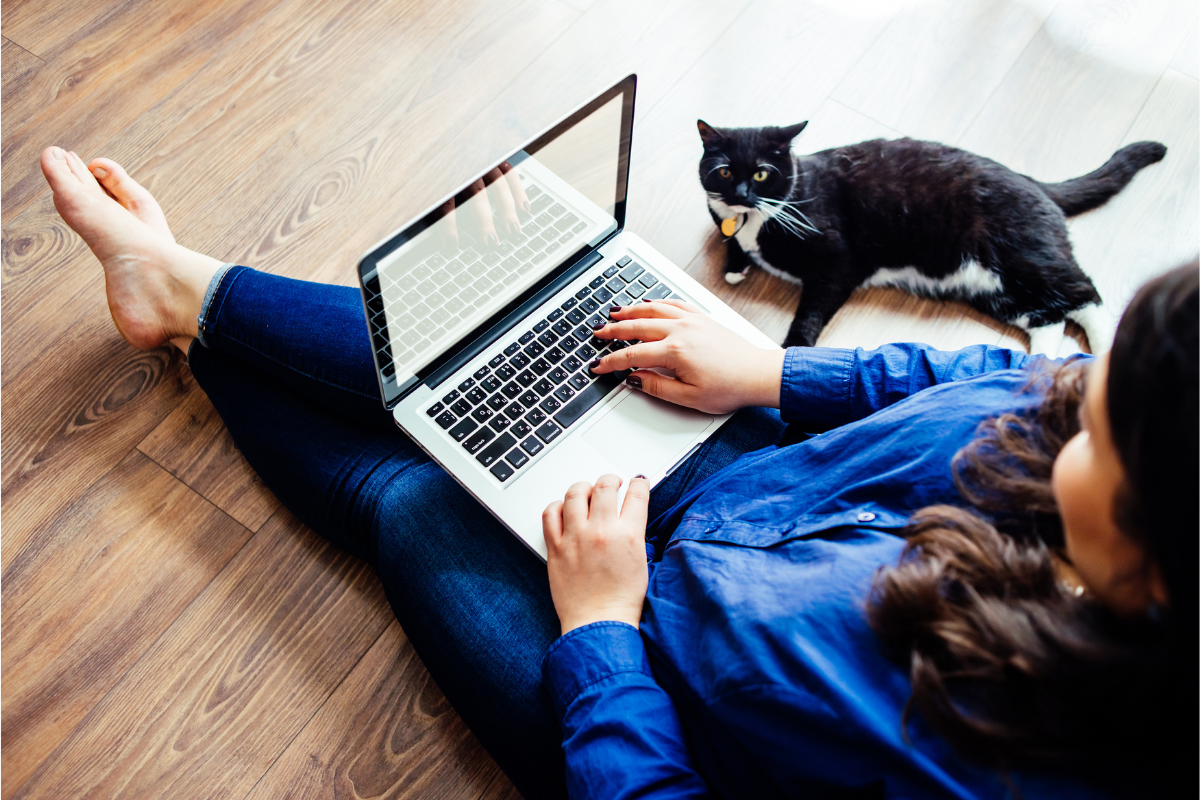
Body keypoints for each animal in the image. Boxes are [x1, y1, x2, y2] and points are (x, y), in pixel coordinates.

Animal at [700, 120, 1166, 352]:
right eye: (723, 171)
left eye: (763, 173)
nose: (742, 193)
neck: (756, 218)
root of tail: (1033, 182)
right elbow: (732, 242)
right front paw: (736, 265)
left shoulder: (838, 260)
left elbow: (812, 309)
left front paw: (793, 347)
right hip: (995, 289)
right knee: (1047, 318)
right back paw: (1035, 368)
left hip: (1026, 258)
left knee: (1084, 295)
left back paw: (1104, 353)